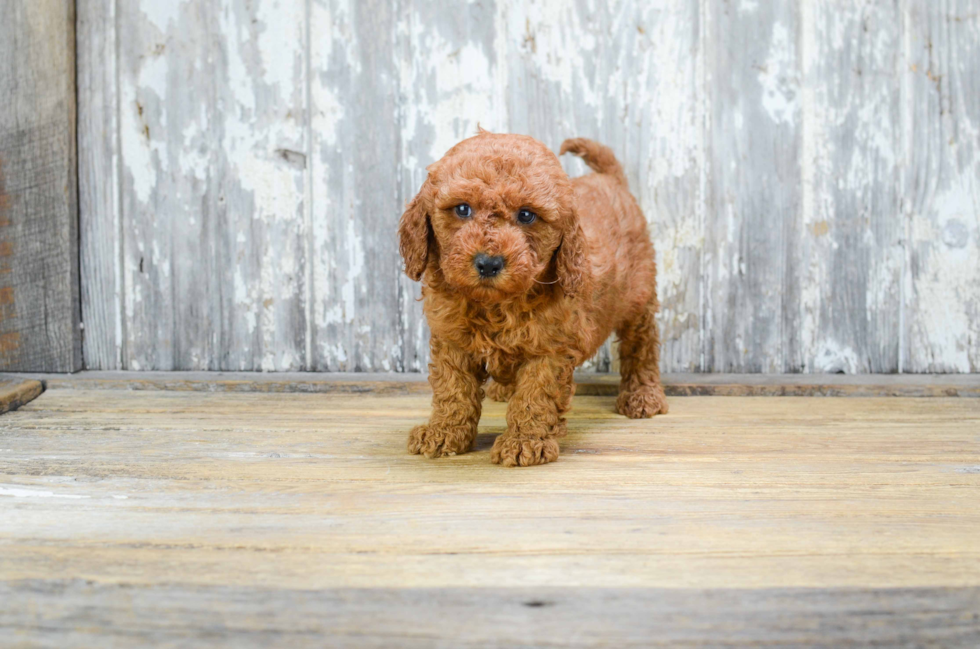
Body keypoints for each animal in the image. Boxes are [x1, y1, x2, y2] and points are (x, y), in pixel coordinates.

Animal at [398, 130, 668, 466]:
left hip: (638, 294)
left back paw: (642, 395)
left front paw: (523, 442)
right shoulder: (451, 340)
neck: (495, 305)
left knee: (641, 344)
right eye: (462, 209)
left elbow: (535, 395)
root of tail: (610, 178)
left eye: (526, 215)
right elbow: (453, 388)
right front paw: (443, 431)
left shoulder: (550, 347)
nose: (489, 263)